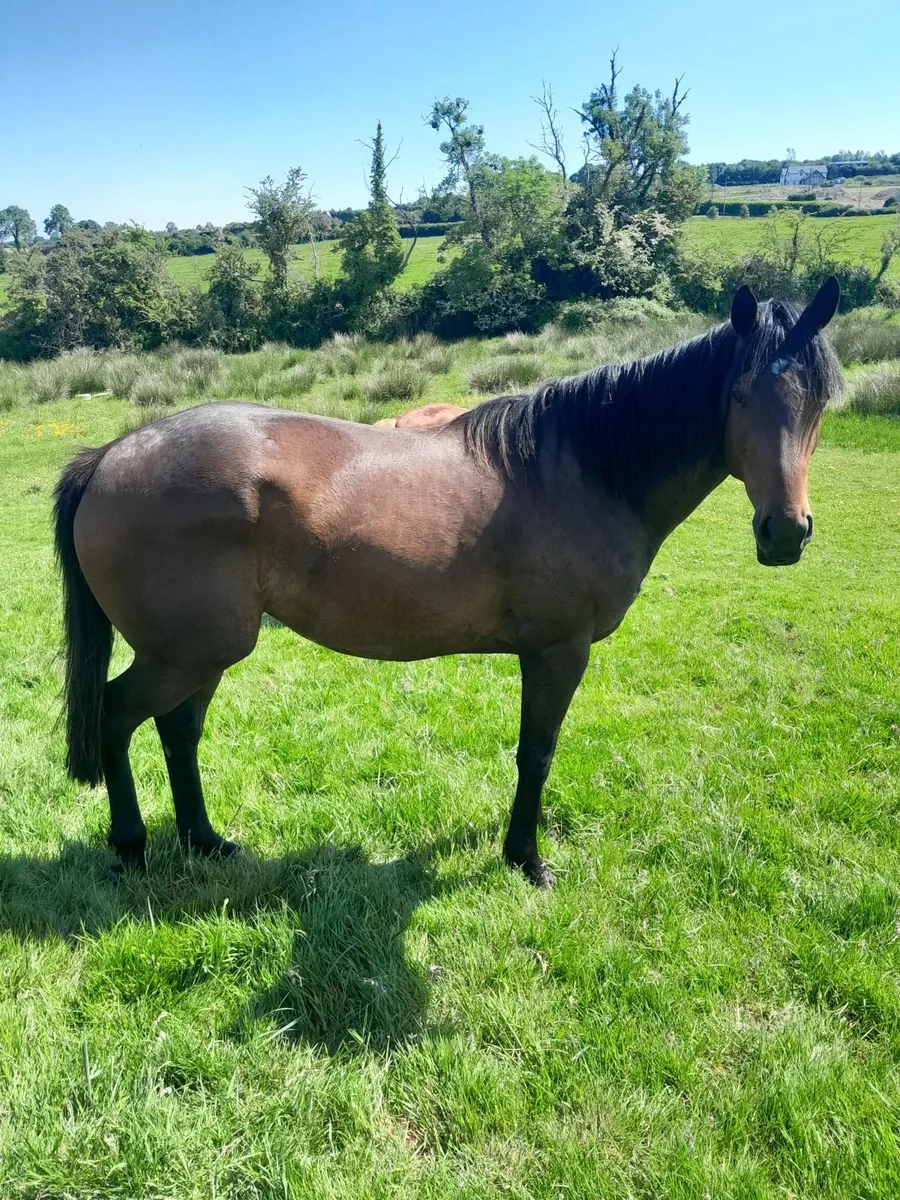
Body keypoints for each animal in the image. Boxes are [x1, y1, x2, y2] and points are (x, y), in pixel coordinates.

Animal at [54, 279, 842, 885]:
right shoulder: (558, 651)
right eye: (738, 394)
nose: (785, 532)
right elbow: (536, 753)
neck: (584, 469)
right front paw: (526, 859)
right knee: (118, 717)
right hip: (184, 653)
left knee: (178, 729)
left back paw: (206, 841)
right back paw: (132, 850)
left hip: (202, 652)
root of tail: (112, 455)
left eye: (818, 401)